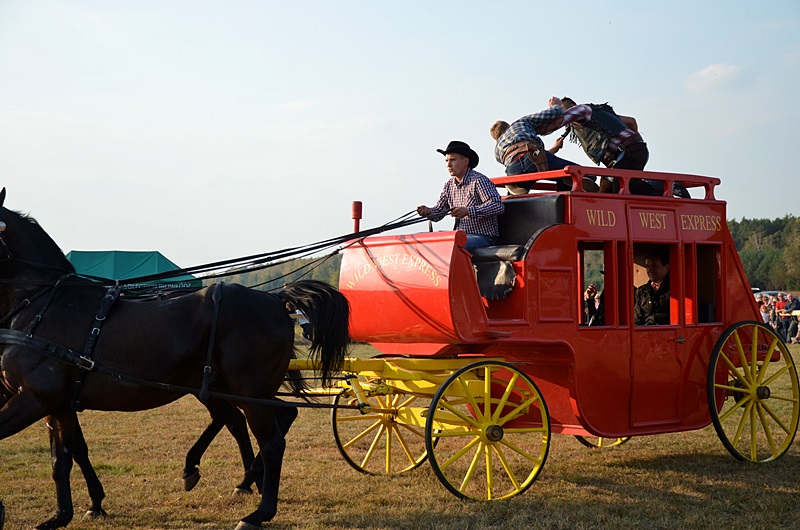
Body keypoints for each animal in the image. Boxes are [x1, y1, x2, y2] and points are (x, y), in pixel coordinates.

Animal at [0, 188, 349, 530]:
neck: (45, 303)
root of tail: (276, 299)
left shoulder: (34, 398)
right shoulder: (56, 404)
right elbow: (64, 458)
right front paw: (67, 513)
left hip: (247, 390)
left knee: (271, 441)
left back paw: (257, 512)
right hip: (233, 388)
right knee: (270, 417)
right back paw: (242, 480)